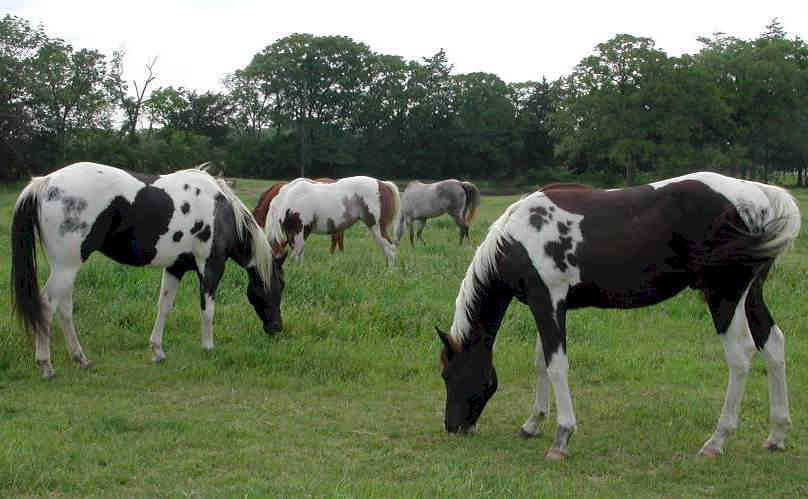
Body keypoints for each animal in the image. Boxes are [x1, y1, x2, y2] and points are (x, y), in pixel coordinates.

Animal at [10, 162, 285, 379]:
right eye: (278, 287)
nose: (276, 328)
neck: (222, 211)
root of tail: (45, 183)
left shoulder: (176, 267)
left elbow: (164, 306)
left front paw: (157, 351)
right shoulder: (210, 265)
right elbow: (207, 309)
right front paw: (208, 347)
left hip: (67, 267)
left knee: (64, 309)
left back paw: (80, 358)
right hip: (66, 267)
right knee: (47, 306)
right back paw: (46, 365)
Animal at [265, 176, 401, 266]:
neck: (290, 198)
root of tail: (383, 184)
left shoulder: (300, 231)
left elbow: (296, 253)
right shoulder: (295, 233)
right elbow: (299, 253)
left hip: (377, 228)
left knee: (390, 249)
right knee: (387, 249)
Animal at [436, 172, 801, 460]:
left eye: (447, 375)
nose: (452, 427)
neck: (519, 236)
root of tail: (756, 195)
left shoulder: (547, 301)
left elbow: (556, 366)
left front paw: (562, 437)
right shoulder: (551, 306)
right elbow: (541, 360)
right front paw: (532, 423)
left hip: (724, 296)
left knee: (740, 356)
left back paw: (717, 440)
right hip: (750, 295)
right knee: (773, 345)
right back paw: (777, 434)